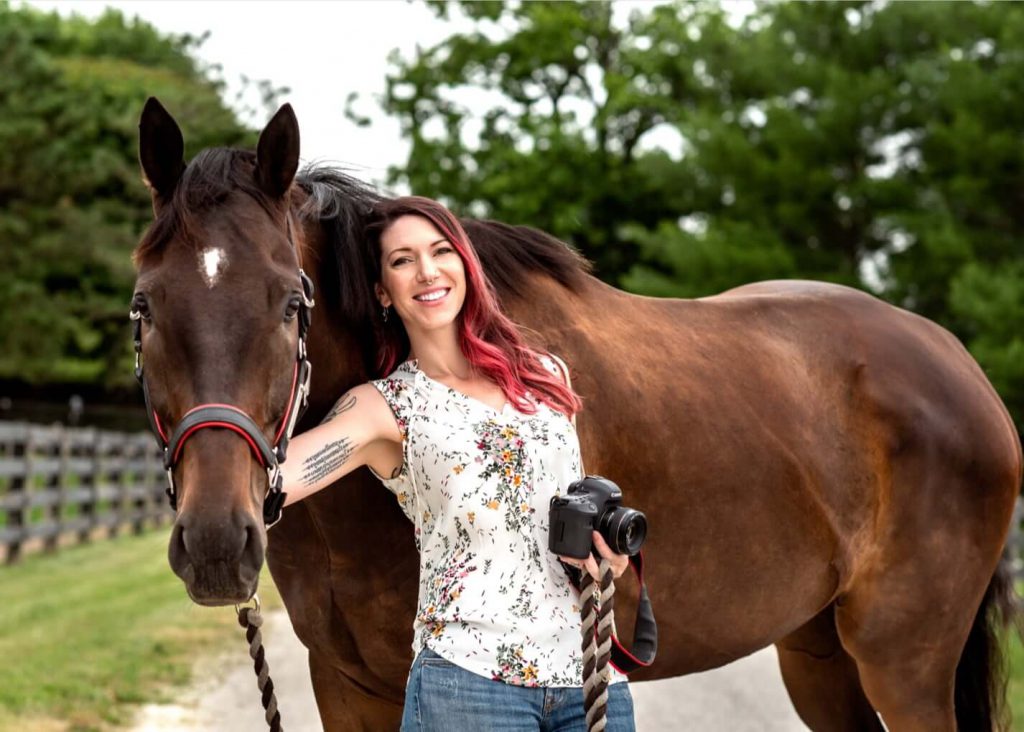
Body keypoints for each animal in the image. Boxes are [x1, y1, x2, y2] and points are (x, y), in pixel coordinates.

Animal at [132, 98, 1019, 732]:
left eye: (291, 304)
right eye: (144, 306)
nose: (216, 546)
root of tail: (959, 368)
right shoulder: (345, 682)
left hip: (903, 664)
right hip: (818, 652)